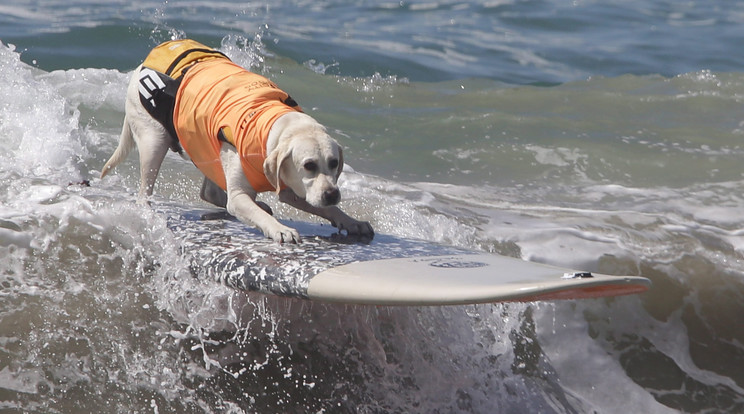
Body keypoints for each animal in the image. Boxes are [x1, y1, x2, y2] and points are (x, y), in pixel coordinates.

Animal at [101, 38, 374, 243]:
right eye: (309, 165)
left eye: (334, 163)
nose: (332, 193)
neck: (270, 125)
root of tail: (140, 67)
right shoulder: (249, 189)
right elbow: (253, 210)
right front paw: (280, 229)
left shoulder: (292, 188)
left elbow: (324, 208)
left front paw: (351, 221)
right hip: (154, 140)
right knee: (145, 191)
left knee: (211, 192)